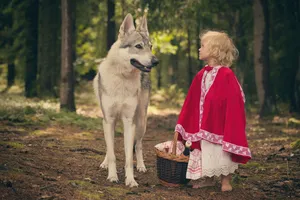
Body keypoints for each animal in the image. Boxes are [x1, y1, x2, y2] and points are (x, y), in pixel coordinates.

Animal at [93, 13, 159, 187]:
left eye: (150, 46)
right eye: (138, 46)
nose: (156, 61)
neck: (122, 78)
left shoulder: (129, 122)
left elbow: (129, 157)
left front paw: (130, 180)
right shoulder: (109, 119)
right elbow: (112, 153)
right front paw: (112, 176)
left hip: (141, 121)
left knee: (139, 145)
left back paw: (141, 166)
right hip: (110, 122)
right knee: (110, 147)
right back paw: (104, 163)